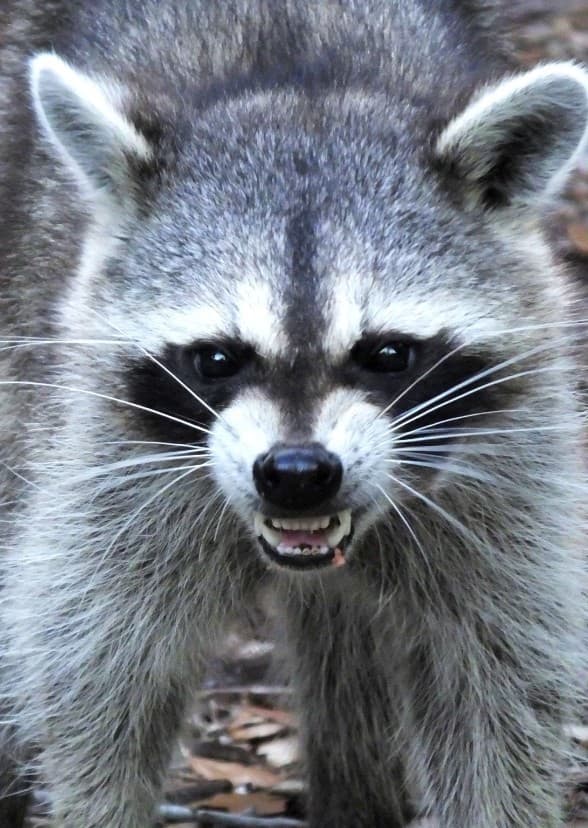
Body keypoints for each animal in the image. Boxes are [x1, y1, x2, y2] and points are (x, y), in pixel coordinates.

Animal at [0, 1, 586, 826]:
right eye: (218, 358)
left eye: (387, 354)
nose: (297, 472)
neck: (302, 90)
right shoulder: (104, 453)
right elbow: (93, 674)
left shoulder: (507, 458)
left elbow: (498, 686)